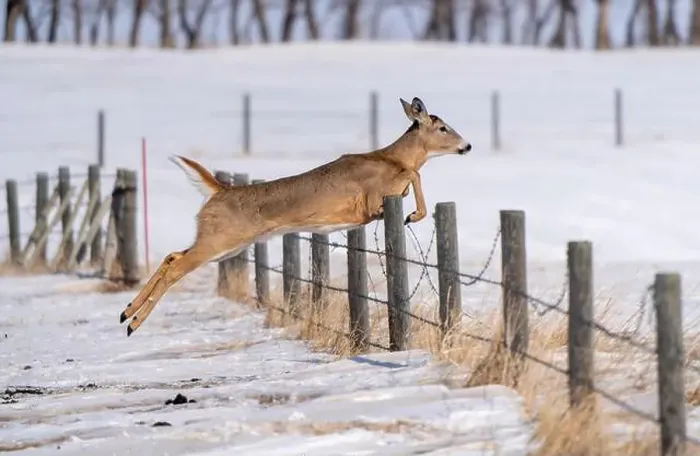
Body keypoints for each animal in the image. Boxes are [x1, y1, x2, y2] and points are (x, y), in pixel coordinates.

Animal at [119, 96, 472, 336]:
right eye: (442, 127)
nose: (466, 145)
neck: (391, 158)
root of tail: (219, 191)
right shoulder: (372, 198)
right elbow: (415, 175)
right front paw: (413, 215)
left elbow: (413, 177)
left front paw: (412, 212)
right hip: (220, 238)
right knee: (176, 266)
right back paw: (132, 322)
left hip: (224, 242)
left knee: (172, 255)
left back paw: (126, 313)